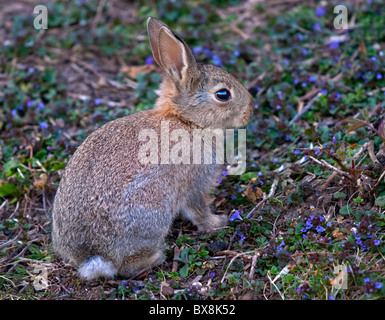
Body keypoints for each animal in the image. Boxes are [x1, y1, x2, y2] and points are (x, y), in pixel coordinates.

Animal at [51, 16, 255, 280]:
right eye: (223, 94)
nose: (251, 109)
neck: (186, 120)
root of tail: (93, 255)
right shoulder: (195, 183)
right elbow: (198, 210)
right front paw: (218, 222)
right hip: (152, 211)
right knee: (127, 267)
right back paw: (157, 256)